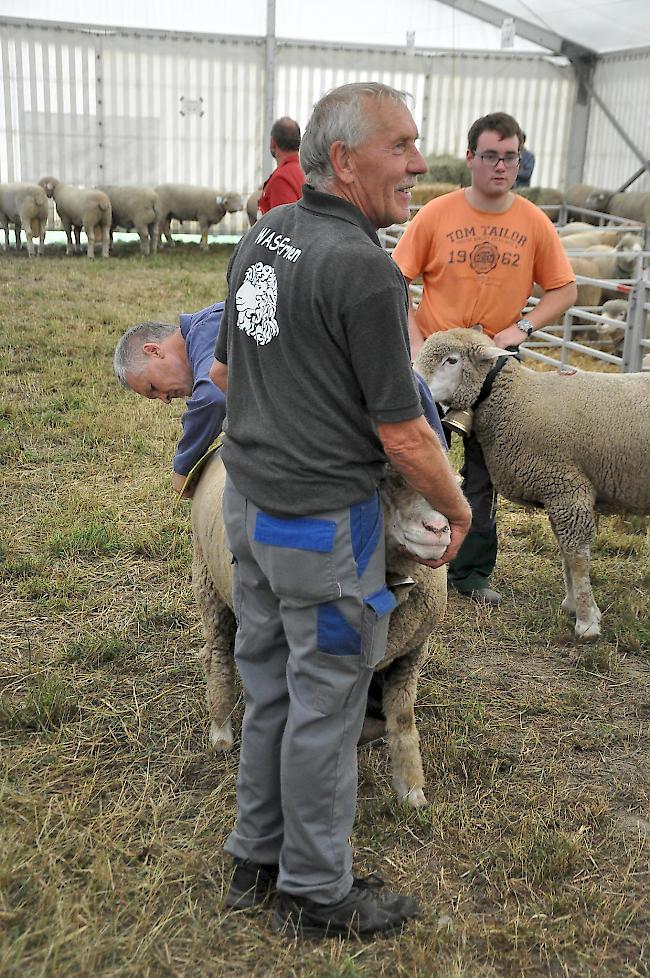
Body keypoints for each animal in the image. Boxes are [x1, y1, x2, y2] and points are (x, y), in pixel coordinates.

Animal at [190, 446, 448, 804]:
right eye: (389, 481)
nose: (438, 529)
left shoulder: (409, 654)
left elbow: (400, 719)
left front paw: (411, 790)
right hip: (208, 583)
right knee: (216, 656)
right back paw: (221, 730)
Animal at [412, 328, 648, 640]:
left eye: (451, 360)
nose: (414, 384)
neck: (517, 398)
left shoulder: (567, 490)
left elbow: (577, 557)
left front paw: (586, 622)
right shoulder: (559, 494)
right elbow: (565, 552)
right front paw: (573, 604)